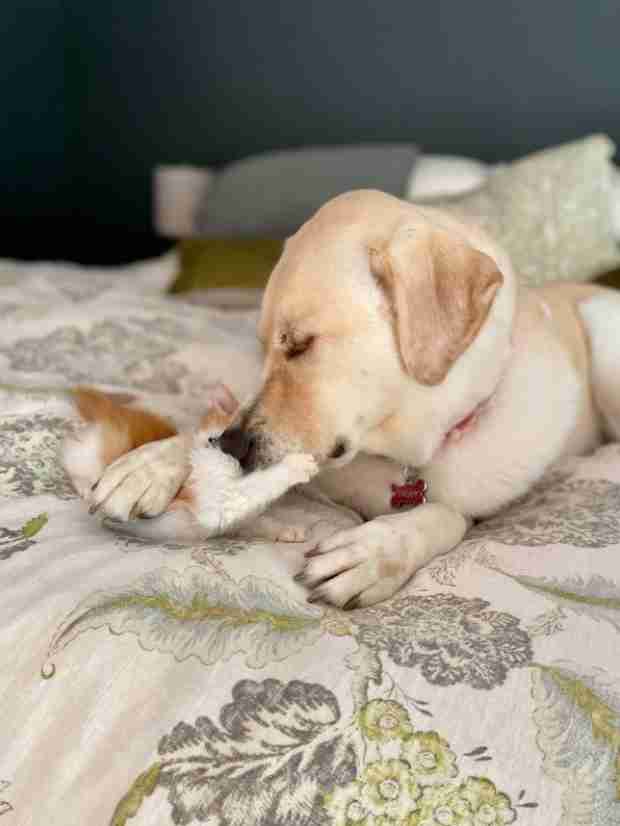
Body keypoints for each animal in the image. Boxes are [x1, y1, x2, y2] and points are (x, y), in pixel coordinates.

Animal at [63, 190, 620, 608]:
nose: (233, 448)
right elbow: (199, 428)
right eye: (263, 346)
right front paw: (151, 464)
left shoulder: (476, 507)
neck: (398, 452)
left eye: (300, 343)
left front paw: (374, 551)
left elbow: (443, 516)